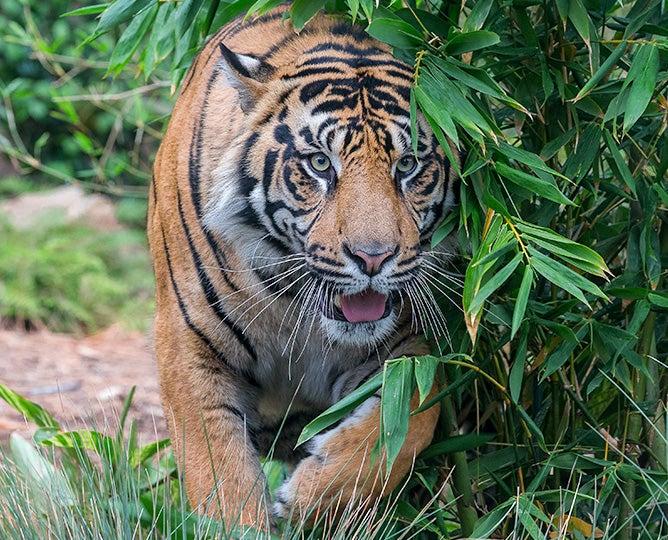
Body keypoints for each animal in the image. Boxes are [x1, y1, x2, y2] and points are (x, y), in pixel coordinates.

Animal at [148, 4, 457, 530]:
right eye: (319, 164)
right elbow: (219, 474)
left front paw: (309, 497)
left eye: (408, 165)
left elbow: (406, 423)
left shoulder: (407, 348)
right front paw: (245, 526)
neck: (297, 307)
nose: (373, 257)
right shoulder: (189, 343)